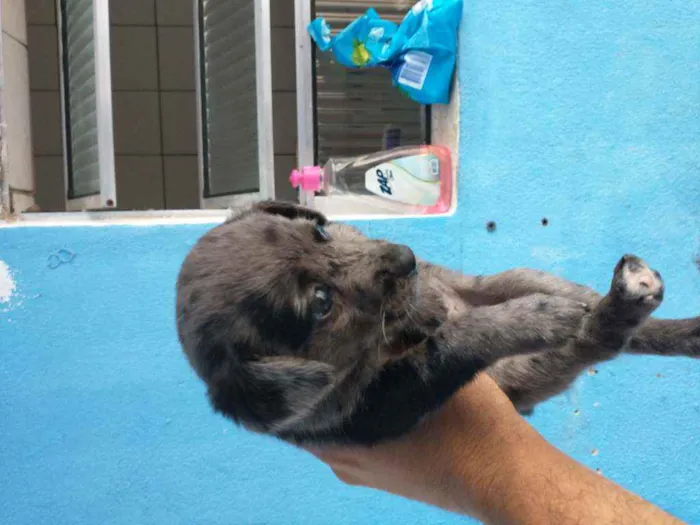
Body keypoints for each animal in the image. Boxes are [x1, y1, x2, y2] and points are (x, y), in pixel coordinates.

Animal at [176, 201, 700, 442]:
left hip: (516, 276)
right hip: (524, 370)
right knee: (595, 341)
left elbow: (431, 304)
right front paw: (525, 318)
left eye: (321, 232)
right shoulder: (393, 395)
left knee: (591, 304)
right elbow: (457, 336)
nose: (406, 257)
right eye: (321, 302)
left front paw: (426, 303)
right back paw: (605, 314)